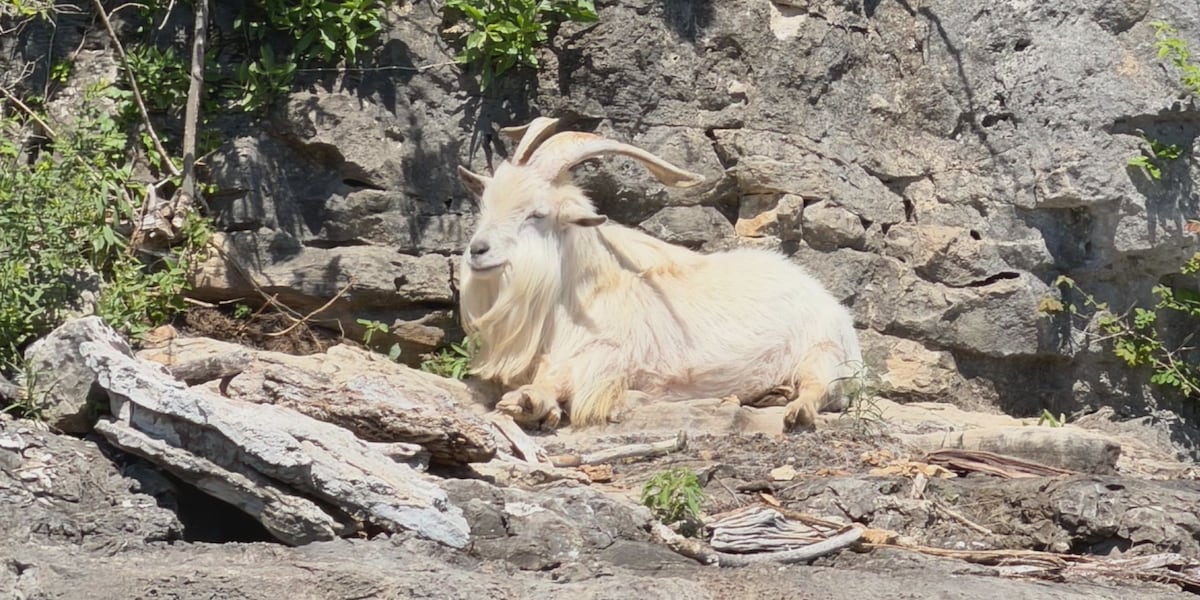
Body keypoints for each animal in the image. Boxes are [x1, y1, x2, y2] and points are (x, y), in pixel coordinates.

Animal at [456, 118, 862, 431]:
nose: (478, 250)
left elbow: (561, 378)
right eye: (486, 204)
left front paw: (530, 402)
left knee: (818, 388)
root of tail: (824, 296)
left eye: (536, 214)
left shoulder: (607, 353)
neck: (581, 291)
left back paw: (796, 409)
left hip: (822, 350)